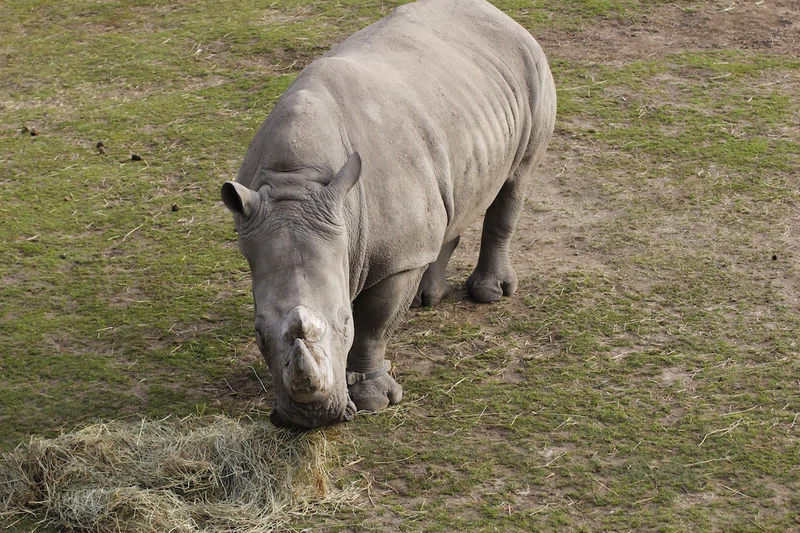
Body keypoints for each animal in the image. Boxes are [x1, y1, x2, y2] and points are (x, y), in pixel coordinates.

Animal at [221, 0, 556, 428]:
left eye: (344, 321)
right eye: (258, 332)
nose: (311, 420)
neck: (298, 184)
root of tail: (500, 15)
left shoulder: (396, 260)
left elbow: (375, 325)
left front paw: (374, 401)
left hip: (532, 69)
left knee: (515, 180)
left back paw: (488, 294)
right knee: (449, 204)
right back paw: (426, 299)